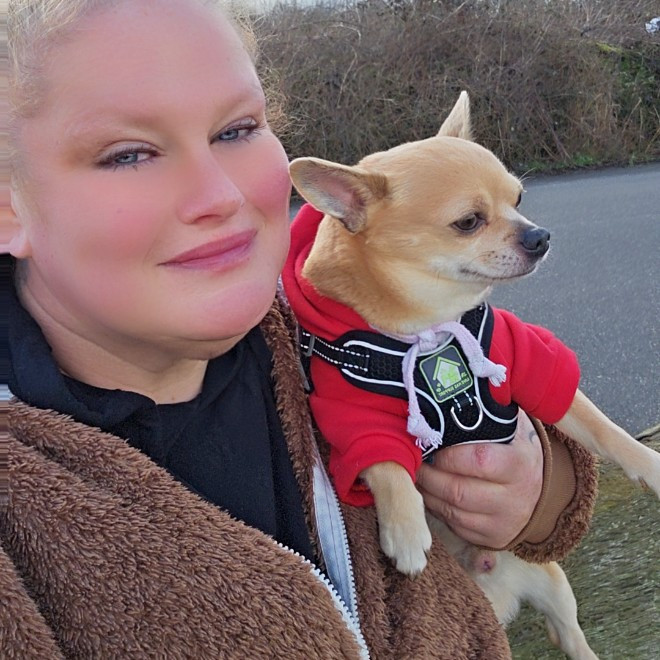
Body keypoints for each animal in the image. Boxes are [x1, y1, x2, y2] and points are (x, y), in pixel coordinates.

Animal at [282, 92, 660, 660]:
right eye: (468, 222)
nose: (540, 235)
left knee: (569, 632)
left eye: (520, 198)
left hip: (552, 583)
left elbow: (603, 428)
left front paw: (651, 465)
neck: (429, 329)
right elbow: (384, 463)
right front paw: (406, 531)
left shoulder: (528, 363)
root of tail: (499, 591)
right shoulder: (348, 411)